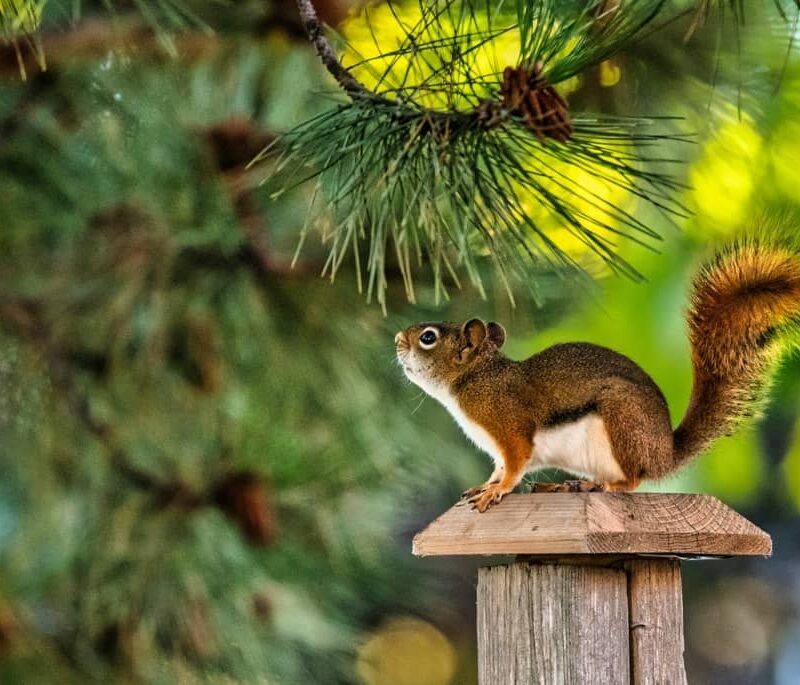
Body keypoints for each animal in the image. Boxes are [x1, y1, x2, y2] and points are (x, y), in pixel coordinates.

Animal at [396, 240, 800, 512]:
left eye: (428, 337)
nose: (398, 339)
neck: (474, 379)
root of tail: (664, 454)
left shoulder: (509, 427)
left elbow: (514, 465)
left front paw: (497, 491)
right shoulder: (496, 447)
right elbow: (497, 468)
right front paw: (485, 485)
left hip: (621, 419)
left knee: (633, 480)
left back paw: (604, 488)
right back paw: (573, 485)